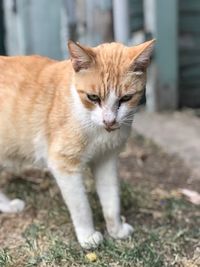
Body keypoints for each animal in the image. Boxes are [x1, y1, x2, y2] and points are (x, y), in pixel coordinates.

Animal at [0, 39, 155, 249]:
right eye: (93, 97)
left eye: (125, 98)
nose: (109, 121)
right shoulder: (64, 165)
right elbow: (82, 206)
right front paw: (88, 237)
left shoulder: (106, 161)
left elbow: (111, 200)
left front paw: (116, 230)